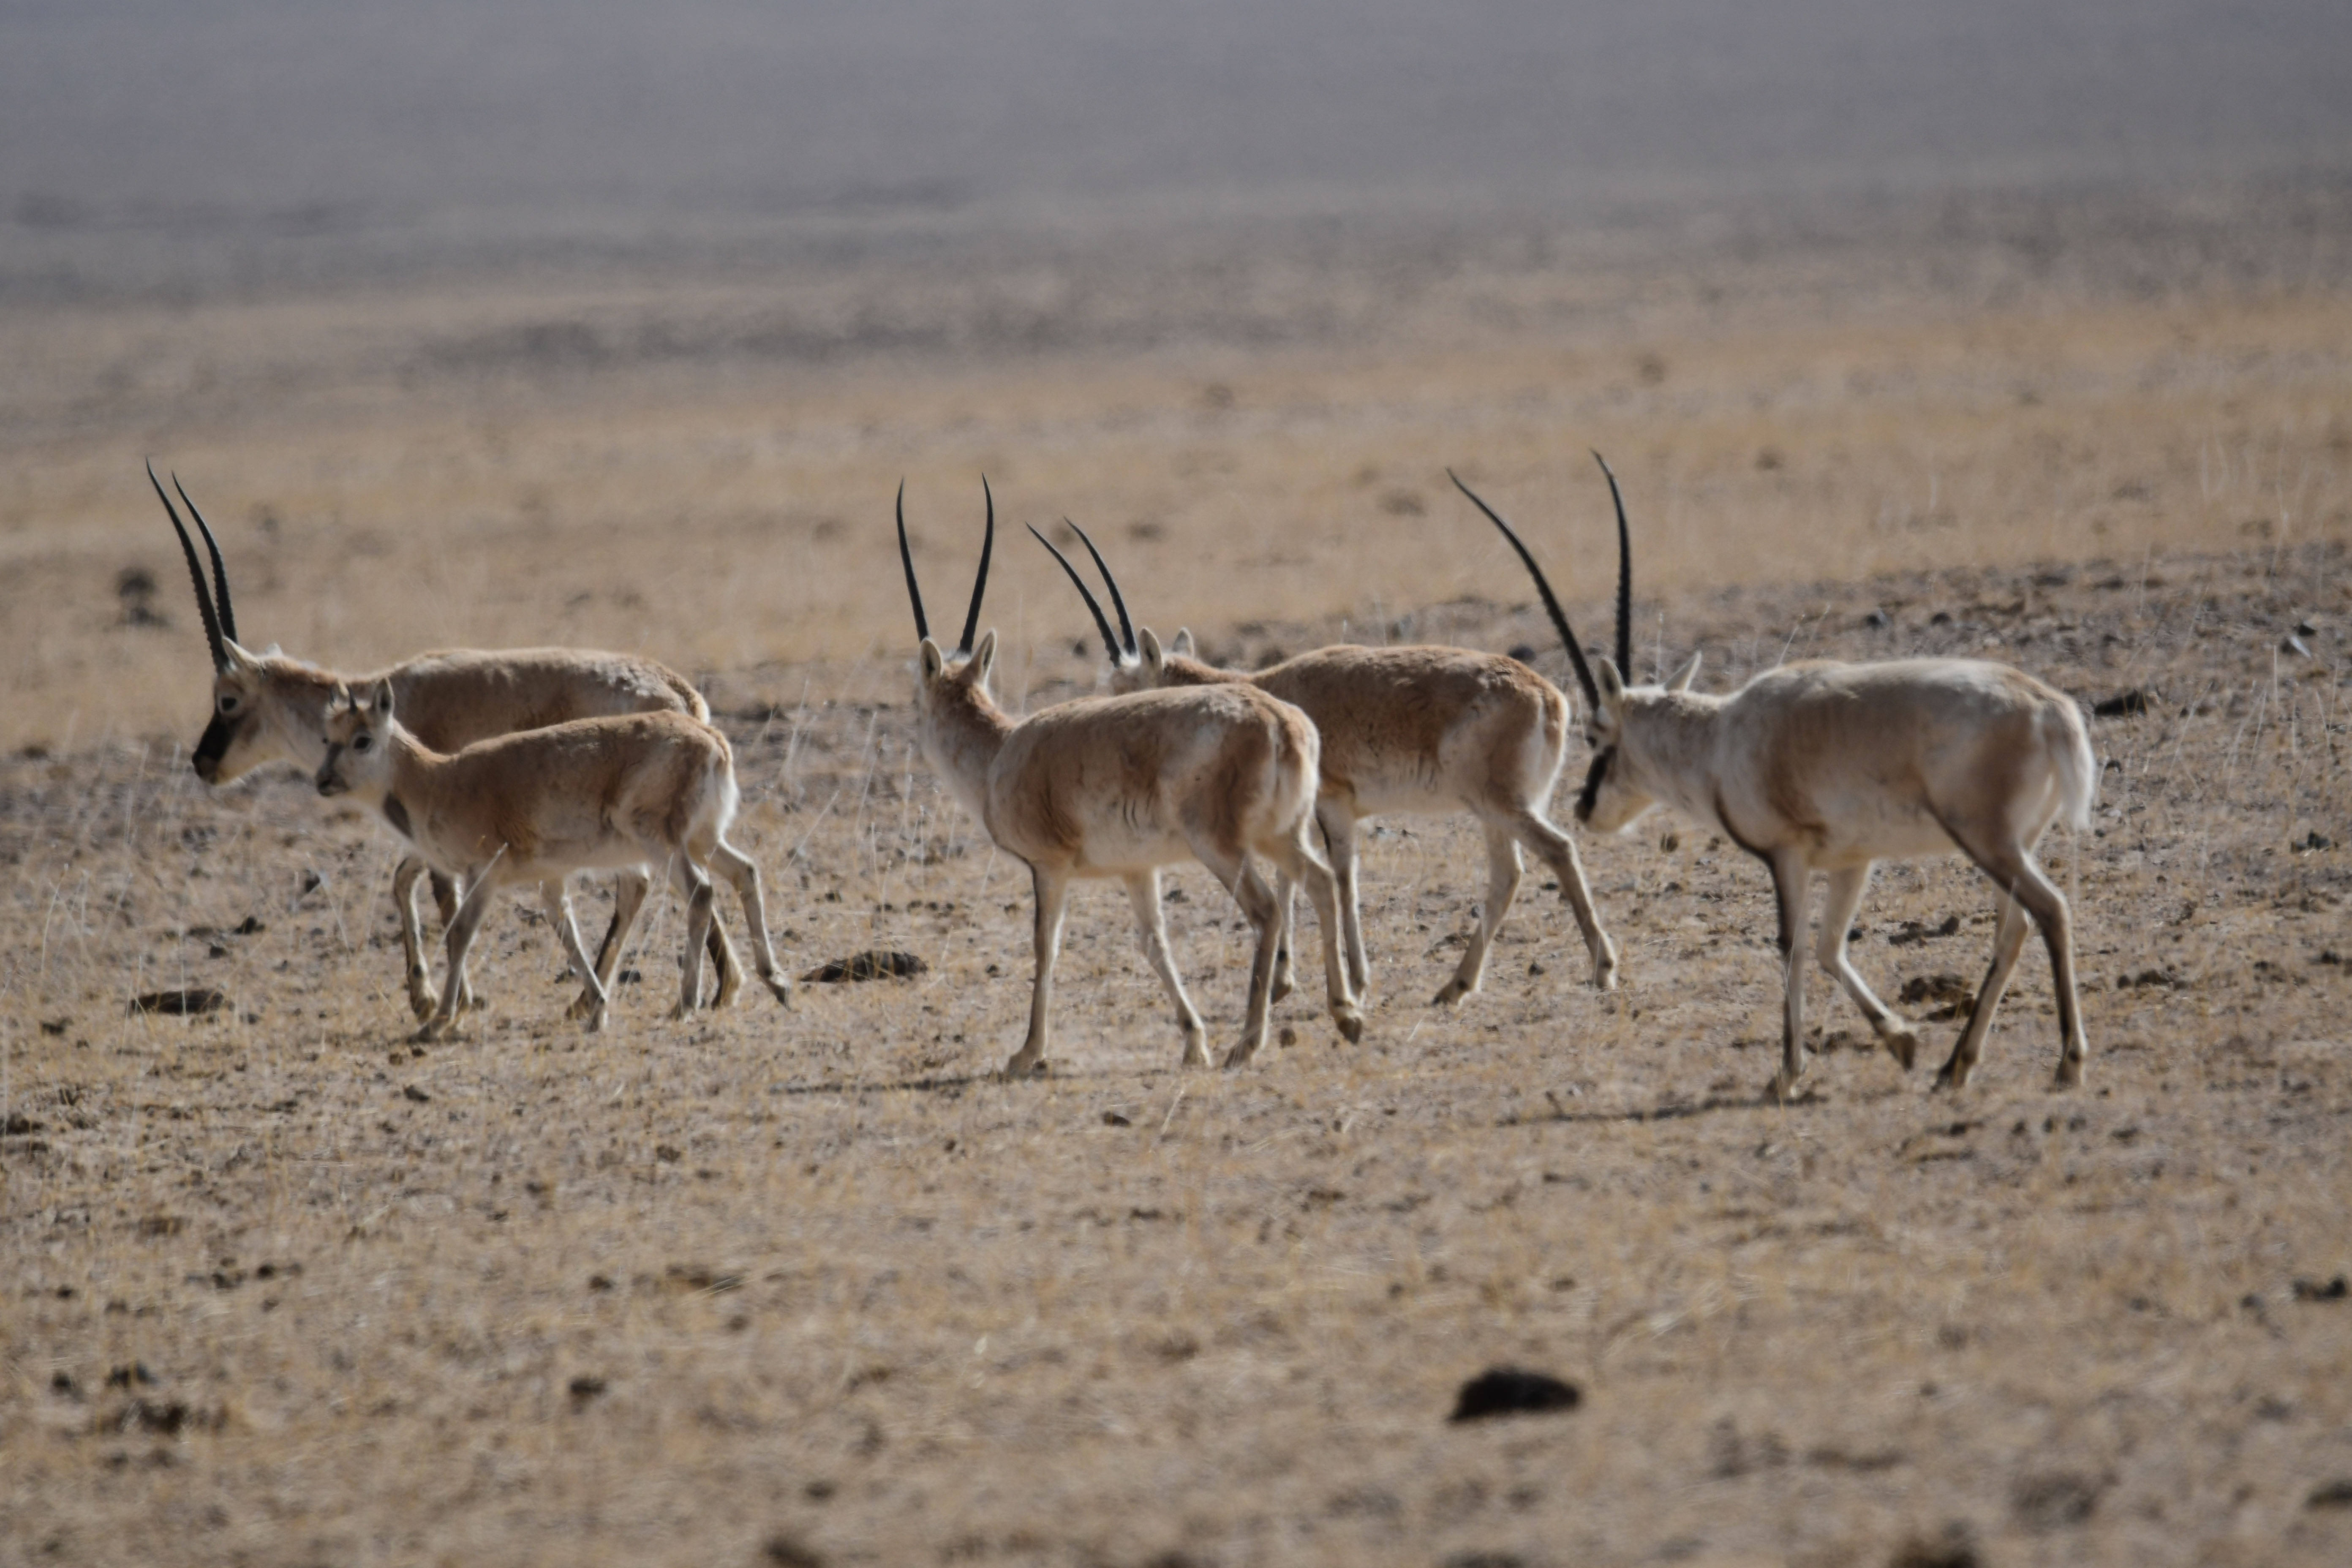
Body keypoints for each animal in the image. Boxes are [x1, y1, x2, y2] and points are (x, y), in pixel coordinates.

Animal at [152, 463, 738, 1029]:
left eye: (227, 699)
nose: (203, 762)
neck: (379, 694)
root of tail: (680, 692)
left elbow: (435, 894)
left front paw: (444, 999)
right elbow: (407, 883)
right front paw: (430, 995)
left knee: (649, 883)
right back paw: (713, 987)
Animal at [317, 677, 795, 1034]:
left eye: (362, 740)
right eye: (328, 737)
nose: (322, 781)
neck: (437, 780)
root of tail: (712, 739)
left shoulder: (482, 875)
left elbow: (460, 935)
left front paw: (439, 1019)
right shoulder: (551, 880)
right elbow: (564, 927)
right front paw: (597, 1009)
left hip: (661, 844)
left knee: (700, 892)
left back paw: (686, 1003)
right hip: (702, 840)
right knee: (745, 872)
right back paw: (776, 981)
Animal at [889, 484, 1364, 1072]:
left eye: (917, 693)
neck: (1000, 750)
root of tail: (1278, 721)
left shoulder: (1049, 868)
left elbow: (1046, 946)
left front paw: (1027, 1052)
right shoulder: (1138, 870)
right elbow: (1152, 942)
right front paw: (1193, 1042)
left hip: (1222, 846)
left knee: (1267, 909)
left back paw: (1249, 1042)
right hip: (1279, 835)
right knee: (1320, 880)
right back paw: (1346, 1015)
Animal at [1030, 514, 1618, 1006]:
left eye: (1122, 689)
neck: (1264, 686)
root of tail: (1548, 697)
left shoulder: (1331, 805)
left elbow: (1337, 877)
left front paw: (1348, 979)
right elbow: (1299, 878)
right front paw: (1290, 979)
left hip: (1500, 803)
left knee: (1557, 850)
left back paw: (1602, 969)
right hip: (1494, 810)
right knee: (1508, 875)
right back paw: (1455, 986)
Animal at [1458, 451, 2107, 1091]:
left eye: (1595, 736)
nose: (1585, 807)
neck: (1720, 738)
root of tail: (2047, 708)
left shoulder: (1786, 855)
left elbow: (1792, 947)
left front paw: (1789, 1071)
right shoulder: (1851, 862)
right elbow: (1828, 949)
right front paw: (1900, 1040)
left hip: (1986, 839)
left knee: (2050, 911)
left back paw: (2068, 1063)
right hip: (2012, 844)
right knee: (2015, 929)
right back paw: (1956, 1066)